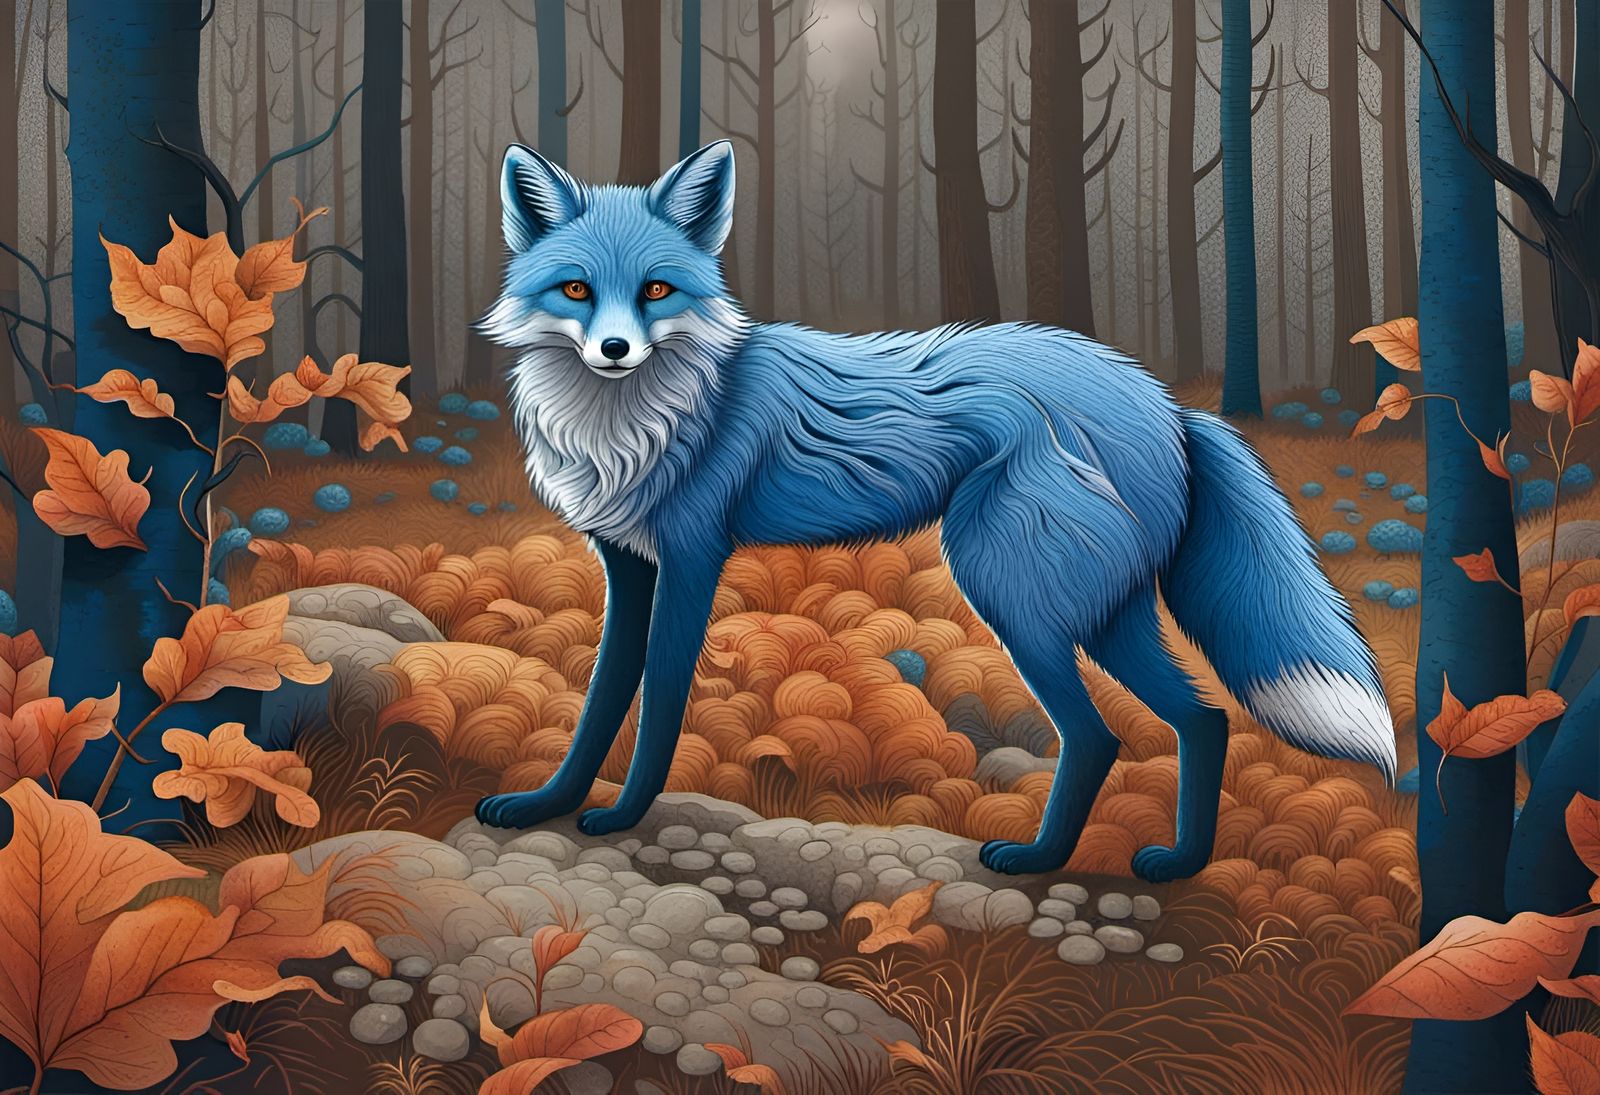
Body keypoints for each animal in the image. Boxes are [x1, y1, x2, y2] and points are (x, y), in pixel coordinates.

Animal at [473, 140, 1396, 881]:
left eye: (657, 289)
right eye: (576, 289)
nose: (615, 349)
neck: (638, 428)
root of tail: (1172, 408)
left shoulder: (695, 558)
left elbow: (660, 695)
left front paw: (624, 813)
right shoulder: (628, 564)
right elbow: (601, 697)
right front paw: (548, 802)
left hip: (1014, 591)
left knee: (1100, 734)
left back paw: (1038, 858)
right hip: (1102, 613)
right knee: (1201, 719)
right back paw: (1178, 863)